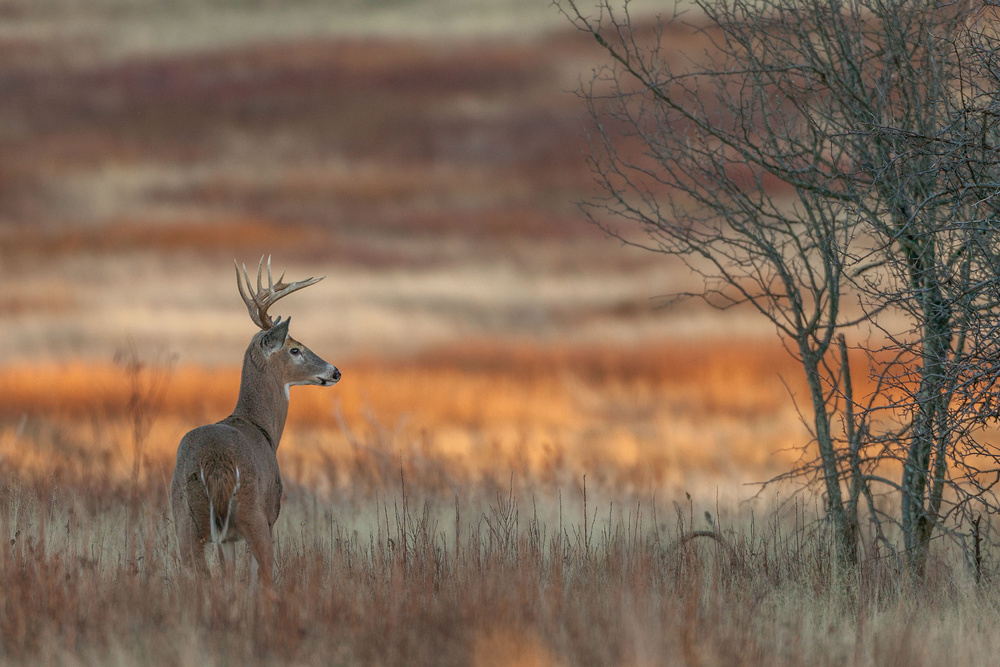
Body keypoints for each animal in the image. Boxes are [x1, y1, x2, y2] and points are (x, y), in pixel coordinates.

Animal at [170, 258, 342, 596]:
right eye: (295, 349)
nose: (335, 371)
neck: (261, 428)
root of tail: (216, 461)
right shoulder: (272, 510)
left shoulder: (226, 539)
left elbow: (228, 575)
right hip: (254, 515)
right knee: (264, 576)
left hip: (185, 520)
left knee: (198, 575)